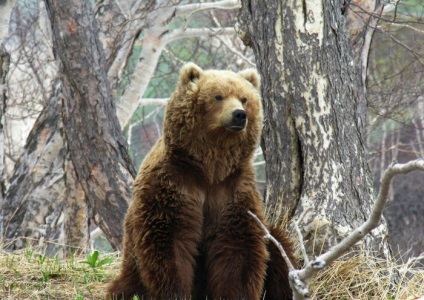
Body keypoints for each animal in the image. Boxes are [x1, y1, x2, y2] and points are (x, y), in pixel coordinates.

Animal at [107, 62, 294, 298]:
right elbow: (170, 241)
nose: (239, 115)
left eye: (244, 98)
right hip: (130, 269)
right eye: (218, 96)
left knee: (279, 248)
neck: (209, 169)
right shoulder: (174, 182)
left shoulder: (232, 189)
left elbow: (236, 245)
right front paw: (175, 291)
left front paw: (234, 293)